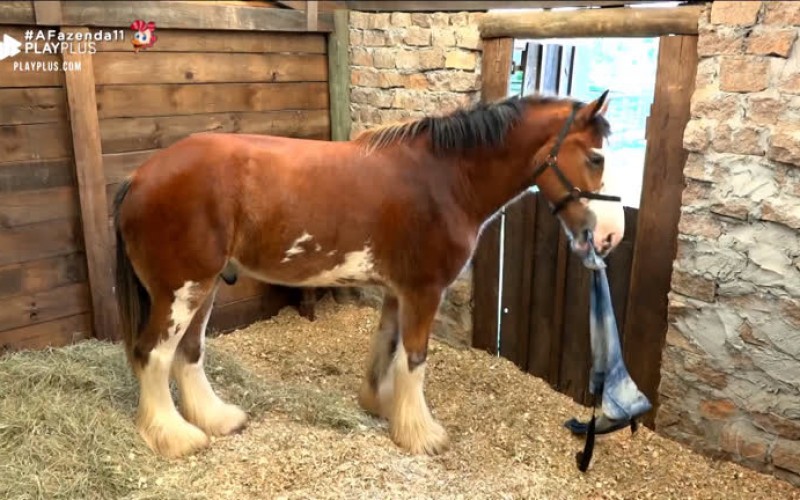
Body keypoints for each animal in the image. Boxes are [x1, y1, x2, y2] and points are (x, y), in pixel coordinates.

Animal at [112, 90, 625, 459]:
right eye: (596, 158)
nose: (611, 236)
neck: (444, 178)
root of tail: (138, 177)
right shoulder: (424, 291)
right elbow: (414, 359)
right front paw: (420, 433)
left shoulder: (399, 292)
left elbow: (387, 348)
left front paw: (382, 406)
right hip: (182, 289)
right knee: (153, 354)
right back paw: (175, 436)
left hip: (203, 286)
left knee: (188, 353)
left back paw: (215, 419)